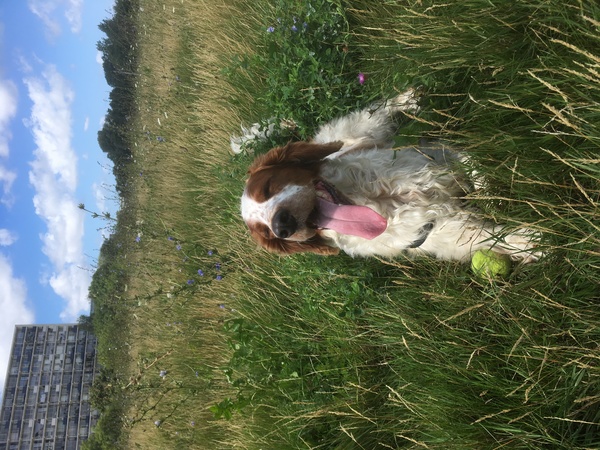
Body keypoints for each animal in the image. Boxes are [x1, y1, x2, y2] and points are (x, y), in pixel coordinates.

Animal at [234, 89, 540, 262]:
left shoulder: (438, 156)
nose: (282, 225)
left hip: (361, 131)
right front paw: (532, 244)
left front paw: (493, 196)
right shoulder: (434, 231)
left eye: (269, 186)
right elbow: (488, 237)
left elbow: (474, 165)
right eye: (266, 233)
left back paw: (406, 99)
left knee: (377, 109)